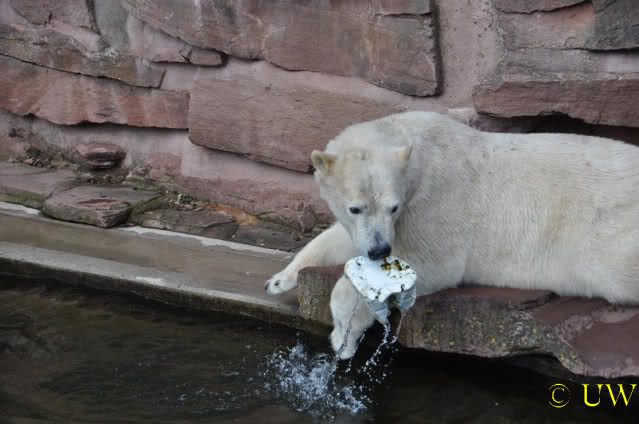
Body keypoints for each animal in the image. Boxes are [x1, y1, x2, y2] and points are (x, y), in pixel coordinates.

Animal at [265, 111, 639, 359]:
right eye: (355, 208)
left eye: (393, 206)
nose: (379, 250)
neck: (421, 152)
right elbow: (340, 238)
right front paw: (279, 279)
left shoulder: (434, 201)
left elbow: (432, 263)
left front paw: (343, 335)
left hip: (608, 235)